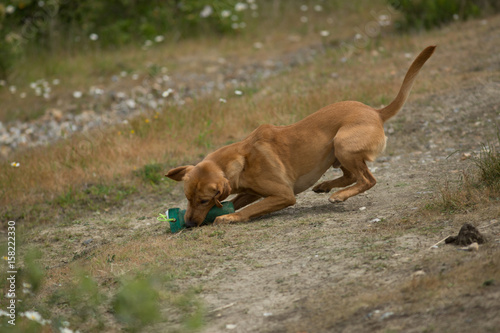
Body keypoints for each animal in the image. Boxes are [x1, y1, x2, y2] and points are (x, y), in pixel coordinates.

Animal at [166, 45, 436, 226]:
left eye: (203, 201)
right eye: (188, 198)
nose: (188, 223)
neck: (241, 159)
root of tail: (376, 112)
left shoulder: (283, 194)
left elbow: (251, 209)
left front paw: (230, 217)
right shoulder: (251, 191)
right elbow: (244, 200)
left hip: (342, 143)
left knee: (368, 179)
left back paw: (339, 195)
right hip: (337, 152)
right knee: (353, 176)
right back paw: (326, 185)